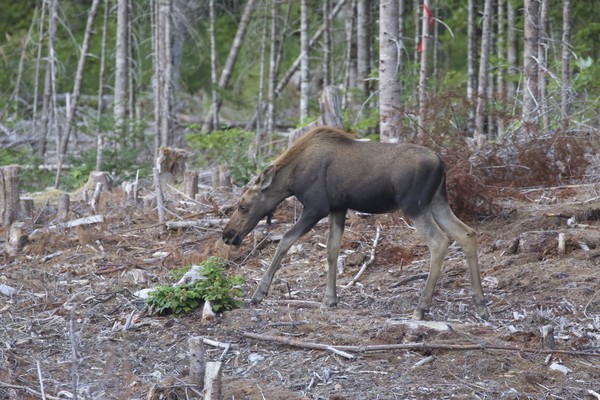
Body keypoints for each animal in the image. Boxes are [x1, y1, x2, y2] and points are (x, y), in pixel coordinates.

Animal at [222, 126, 490, 320]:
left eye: (243, 206)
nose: (227, 234)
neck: (291, 180)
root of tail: (441, 163)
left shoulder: (316, 207)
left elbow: (285, 241)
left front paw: (259, 293)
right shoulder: (338, 208)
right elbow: (332, 250)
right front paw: (330, 299)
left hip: (414, 204)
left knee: (439, 241)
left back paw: (421, 308)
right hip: (437, 201)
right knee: (467, 234)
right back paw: (481, 305)